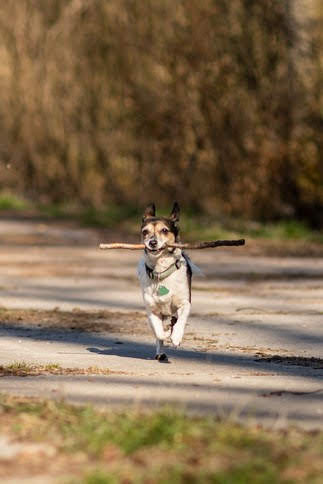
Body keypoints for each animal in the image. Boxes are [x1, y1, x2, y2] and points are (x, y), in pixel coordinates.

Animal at [138, 202, 196, 362]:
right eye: (145, 232)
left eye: (164, 230)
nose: (152, 242)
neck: (161, 271)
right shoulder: (152, 310)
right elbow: (158, 332)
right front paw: (165, 334)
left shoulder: (184, 303)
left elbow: (181, 321)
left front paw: (176, 337)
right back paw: (160, 352)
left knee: (175, 320)